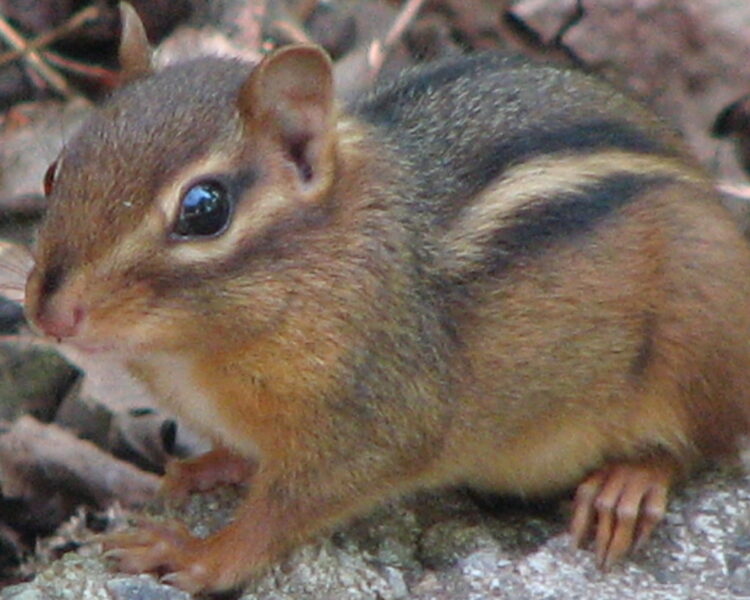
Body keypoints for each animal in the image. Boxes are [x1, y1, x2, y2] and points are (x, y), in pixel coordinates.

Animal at [21, 3, 750, 594]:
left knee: (700, 443)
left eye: (205, 209)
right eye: (56, 170)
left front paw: (199, 555)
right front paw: (206, 467)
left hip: (697, 336)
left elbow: (277, 517)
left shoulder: (373, 426)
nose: (49, 314)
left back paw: (627, 485)